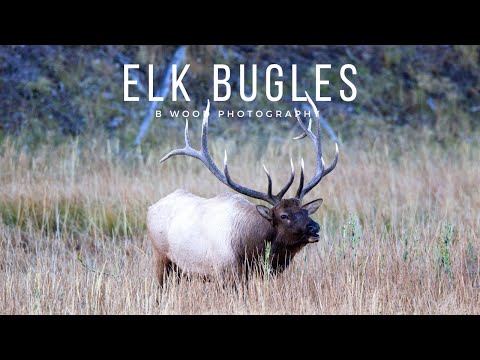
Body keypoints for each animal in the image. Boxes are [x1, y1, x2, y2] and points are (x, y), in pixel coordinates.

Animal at [148, 91, 340, 286]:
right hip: (161, 257)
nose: (314, 228)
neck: (250, 248)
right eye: (283, 215)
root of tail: (151, 207)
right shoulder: (226, 273)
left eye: (306, 212)